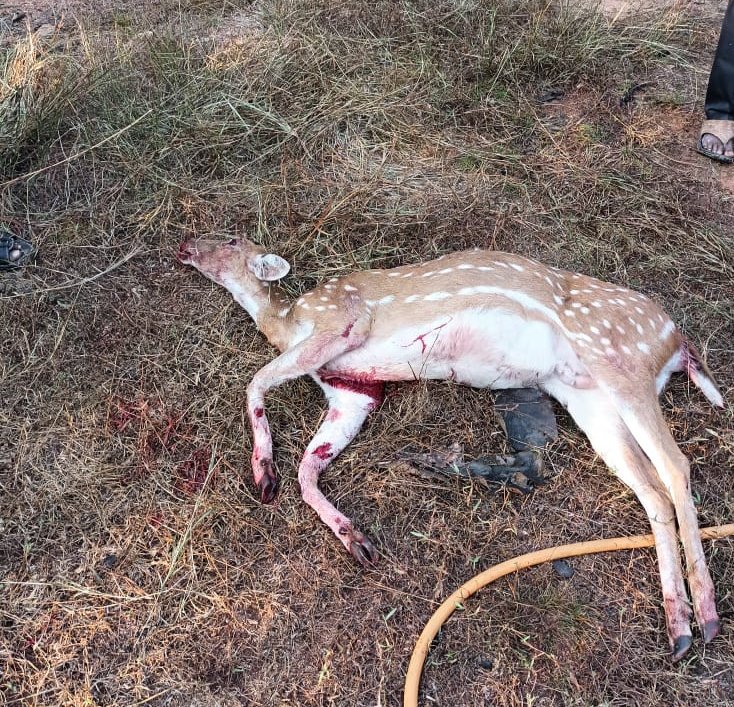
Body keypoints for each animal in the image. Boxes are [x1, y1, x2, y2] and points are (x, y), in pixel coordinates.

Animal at [177, 236, 725, 661]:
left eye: (230, 239)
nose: (185, 245)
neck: (287, 322)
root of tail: (677, 341)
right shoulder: (354, 388)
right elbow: (309, 469)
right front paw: (355, 539)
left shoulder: (341, 321)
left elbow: (255, 382)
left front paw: (263, 472)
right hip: (589, 397)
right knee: (650, 489)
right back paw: (678, 629)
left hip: (619, 358)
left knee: (675, 465)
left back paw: (707, 617)